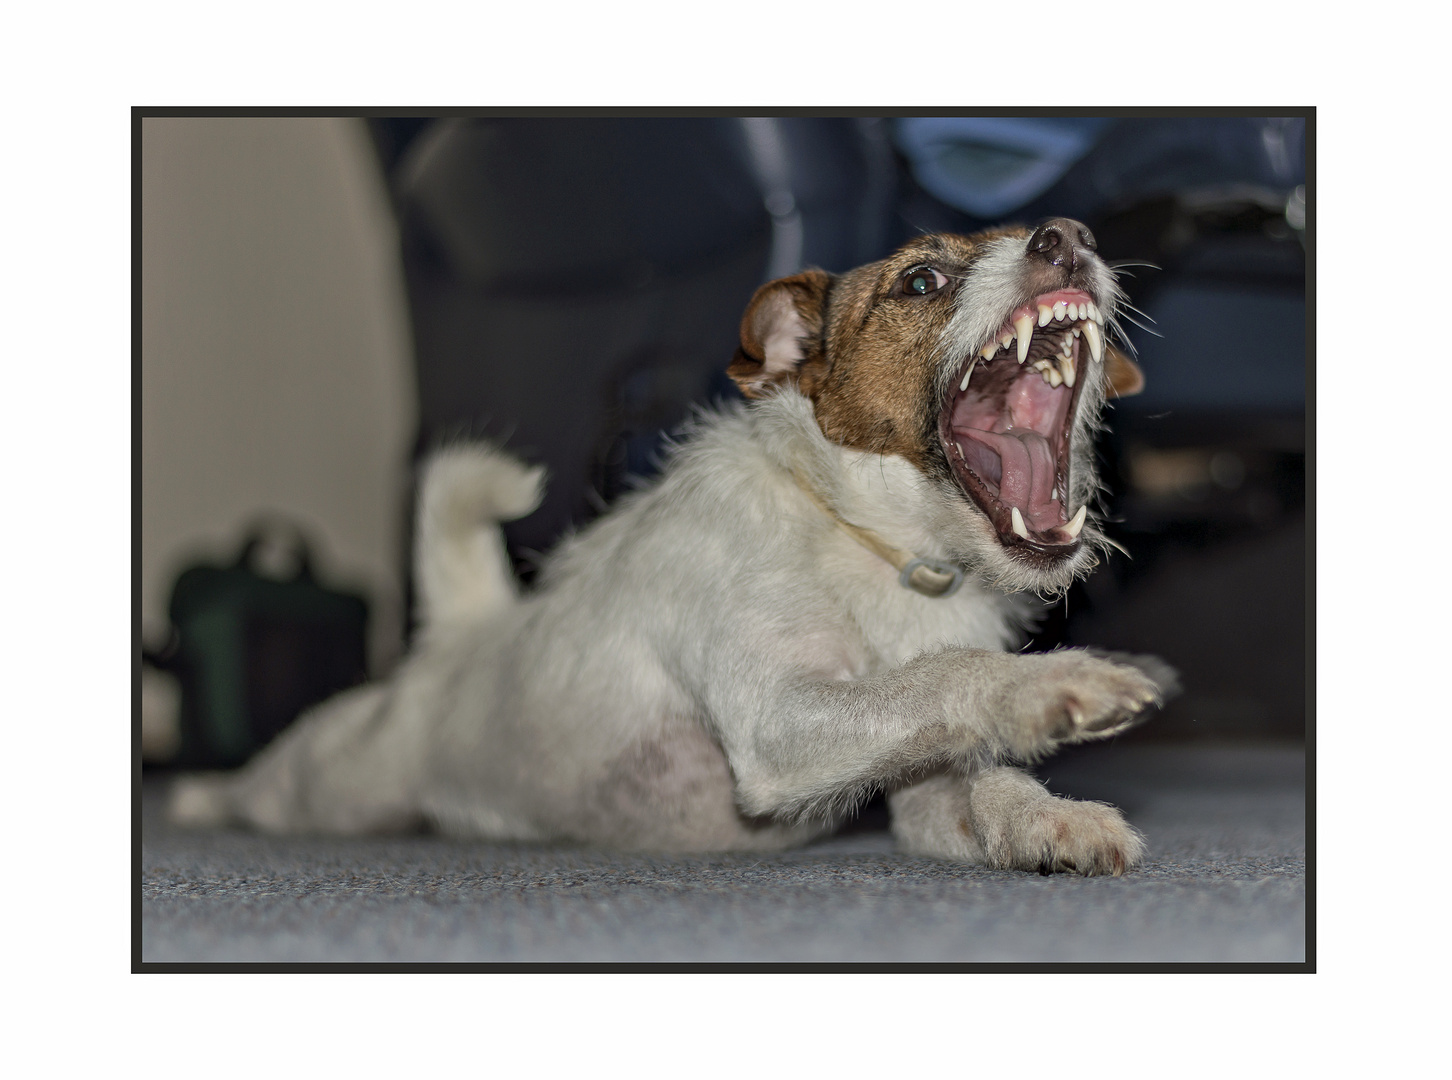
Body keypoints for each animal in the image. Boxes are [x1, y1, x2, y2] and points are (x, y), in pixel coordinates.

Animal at [169, 217, 1167, 876]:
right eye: (921, 281)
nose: (1067, 235)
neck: (880, 548)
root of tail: (459, 640)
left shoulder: (923, 790)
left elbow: (984, 770)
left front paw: (1055, 820)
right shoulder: (779, 720)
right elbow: (945, 676)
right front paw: (1066, 683)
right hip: (330, 783)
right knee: (261, 790)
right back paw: (196, 800)